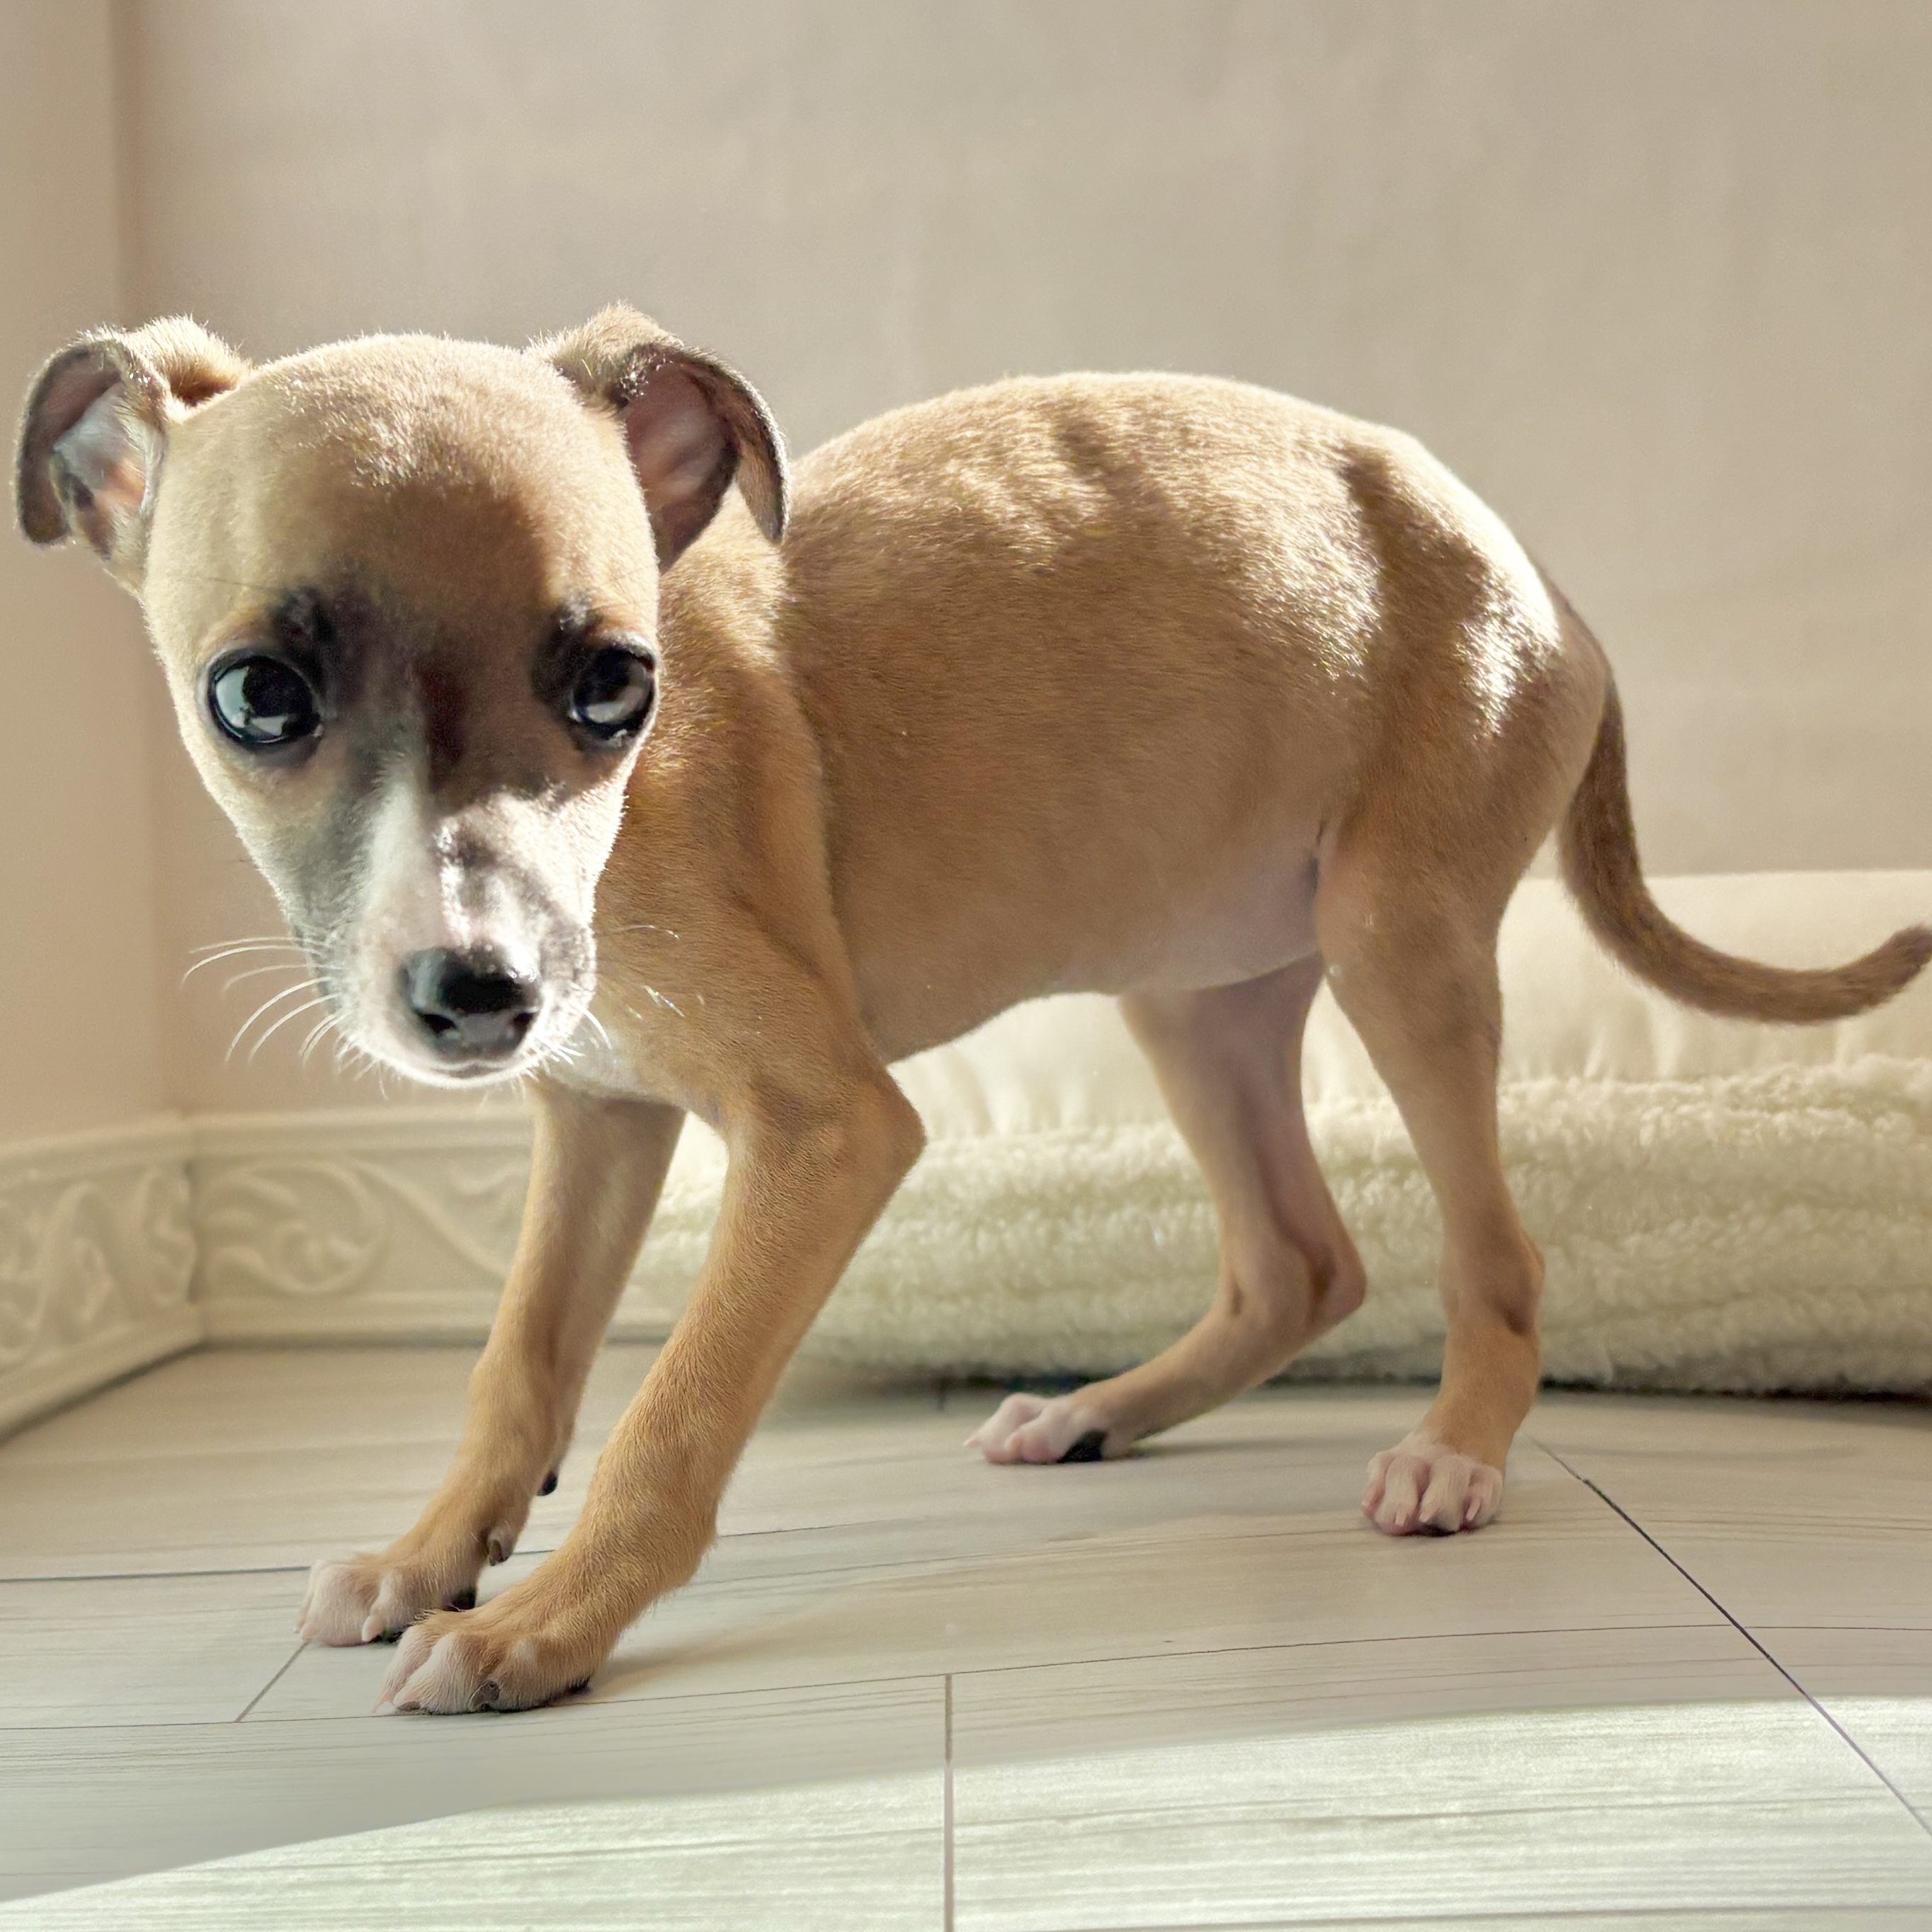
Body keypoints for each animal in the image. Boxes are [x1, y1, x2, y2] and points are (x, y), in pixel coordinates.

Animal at [16, 308, 1928, 1714]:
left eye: (614, 682)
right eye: (256, 695)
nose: (478, 993)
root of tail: (1532, 573)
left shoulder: (821, 1126)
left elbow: (670, 1408)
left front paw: (536, 1624)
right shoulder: (601, 1109)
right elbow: (520, 1364)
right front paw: (433, 1552)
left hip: (1402, 942)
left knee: (1489, 1254)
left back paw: (1453, 1451)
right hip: (1197, 995)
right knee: (1299, 1259)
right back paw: (1101, 1410)